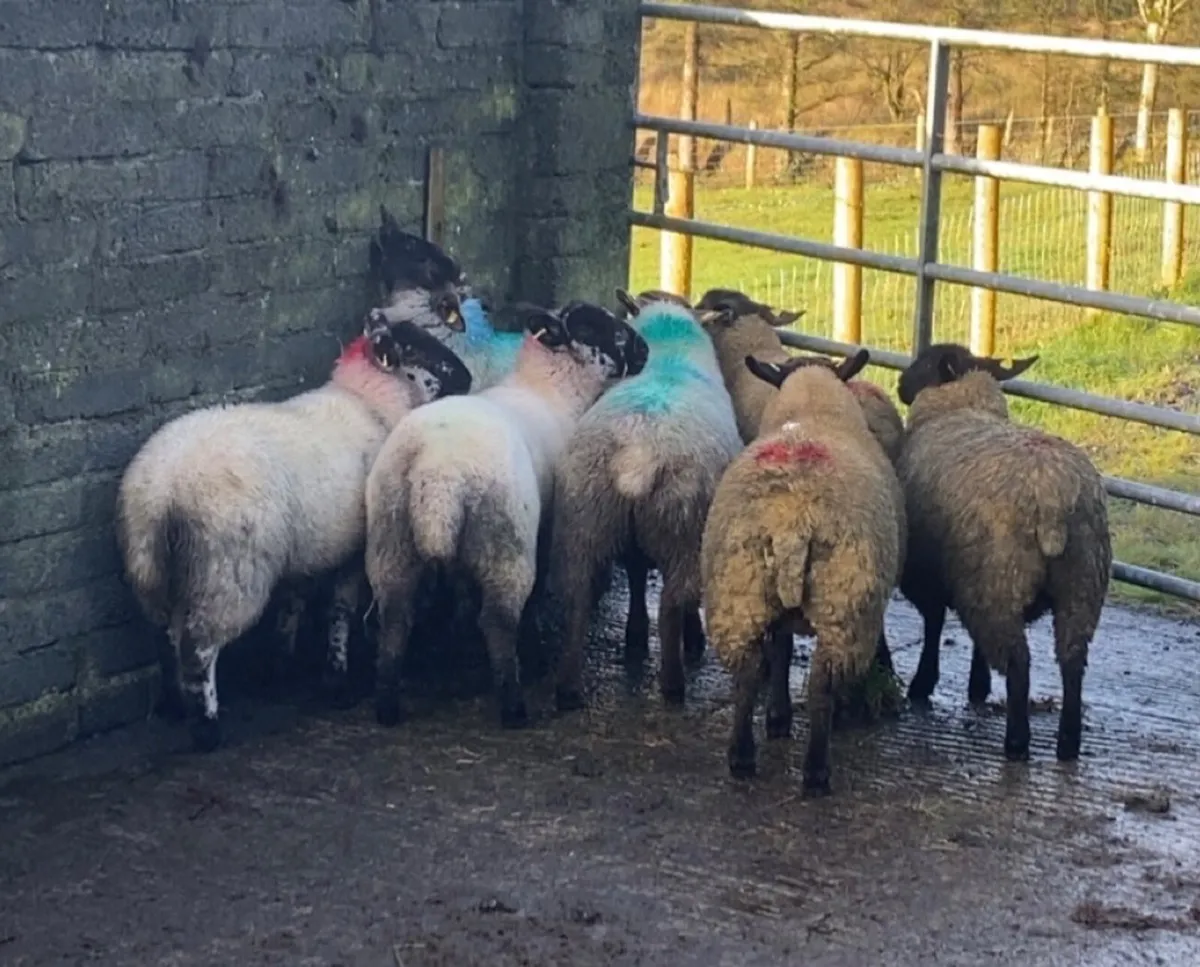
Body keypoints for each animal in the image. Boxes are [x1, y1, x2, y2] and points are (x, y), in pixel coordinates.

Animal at [115, 314, 473, 752]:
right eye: (419, 353)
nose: (469, 378)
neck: (369, 403)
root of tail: (164, 492)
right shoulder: (352, 551)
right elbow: (340, 612)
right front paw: (336, 680)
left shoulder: (304, 552)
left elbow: (292, 605)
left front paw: (280, 666)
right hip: (228, 574)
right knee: (197, 647)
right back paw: (206, 726)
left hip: (150, 569)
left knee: (163, 638)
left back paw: (173, 706)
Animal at [366, 300, 649, 728]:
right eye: (609, 331)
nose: (646, 350)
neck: (550, 391)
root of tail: (437, 472)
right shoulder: (546, 527)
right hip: (506, 540)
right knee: (498, 620)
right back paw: (514, 704)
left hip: (392, 537)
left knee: (396, 616)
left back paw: (387, 705)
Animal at [550, 291, 744, 711]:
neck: (671, 353)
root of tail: (637, 456)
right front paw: (687, 637)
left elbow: (638, 576)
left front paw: (636, 633)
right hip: (683, 527)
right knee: (671, 604)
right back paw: (674, 681)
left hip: (585, 517)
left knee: (577, 597)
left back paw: (569, 687)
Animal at [700, 348, 905, 793]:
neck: (812, 409)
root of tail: (792, 522)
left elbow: (779, 649)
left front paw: (777, 717)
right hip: (843, 601)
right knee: (820, 685)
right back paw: (816, 771)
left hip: (739, 591)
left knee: (746, 673)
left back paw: (741, 756)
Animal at [895, 342, 1111, 762]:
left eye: (924, 362)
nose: (898, 385)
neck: (960, 405)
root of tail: (1052, 500)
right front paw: (976, 686)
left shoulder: (930, 571)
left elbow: (933, 624)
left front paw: (924, 684)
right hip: (1080, 586)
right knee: (1072, 661)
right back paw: (1068, 743)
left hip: (999, 577)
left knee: (1018, 663)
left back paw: (1017, 742)